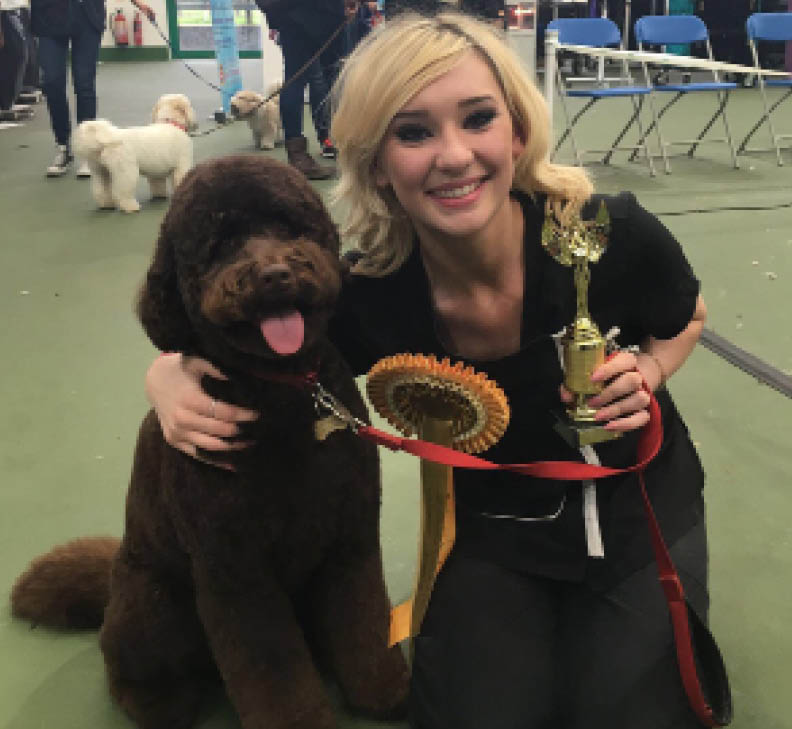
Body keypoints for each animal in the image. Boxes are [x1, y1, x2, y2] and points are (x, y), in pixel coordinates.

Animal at [10, 154, 408, 728]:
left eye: (289, 226)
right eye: (218, 246)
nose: (275, 274)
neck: (283, 395)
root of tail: (113, 577)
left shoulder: (349, 538)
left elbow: (364, 619)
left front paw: (383, 690)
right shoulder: (235, 573)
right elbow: (273, 672)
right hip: (154, 604)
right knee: (124, 665)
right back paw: (158, 701)